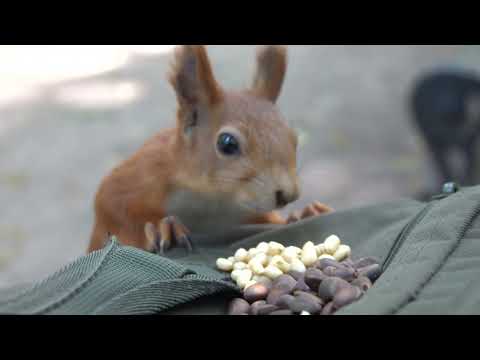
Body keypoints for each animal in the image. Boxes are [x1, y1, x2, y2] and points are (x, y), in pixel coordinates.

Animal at [88, 45, 332, 253]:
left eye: (294, 138)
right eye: (227, 143)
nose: (288, 195)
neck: (210, 200)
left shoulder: (245, 214)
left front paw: (302, 214)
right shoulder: (144, 172)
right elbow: (112, 207)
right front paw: (160, 226)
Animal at [408, 67, 480, 200]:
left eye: (460, 89)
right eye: (434, 92)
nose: (448, 106)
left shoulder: (469, 139)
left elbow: (468, 165)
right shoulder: (434, 142)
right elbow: (445, 167)